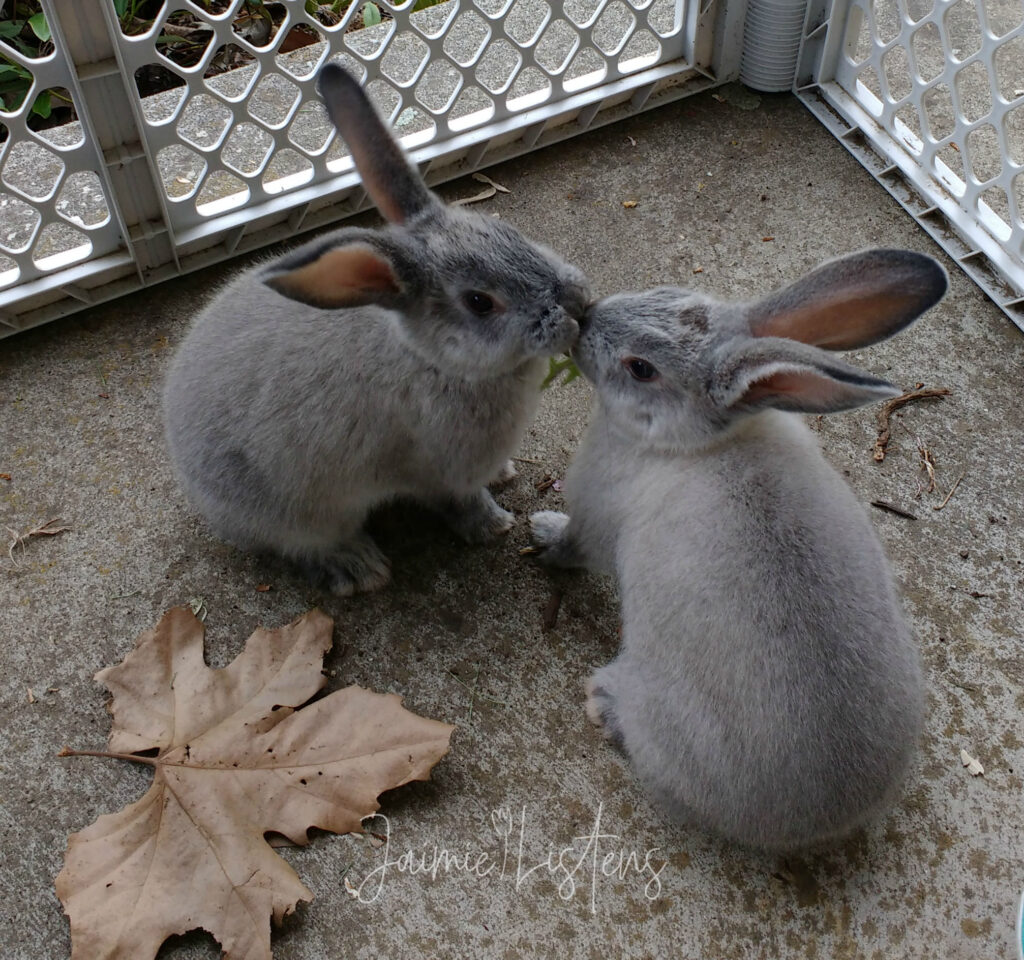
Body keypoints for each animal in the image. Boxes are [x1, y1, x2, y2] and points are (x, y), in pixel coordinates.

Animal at [163, 64, 589, 595]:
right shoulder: (439, 471)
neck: (430, 358)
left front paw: (506, 474)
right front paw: (496, 526)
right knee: (302, 545)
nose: (579, 303)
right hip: (302, 515)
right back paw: (361, 568)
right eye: (479, 302)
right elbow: (460, 502)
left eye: (510, 233)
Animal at [528, 248, 948, 851]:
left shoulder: (592, 520)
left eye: (641, 369)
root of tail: (825, 820)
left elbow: (571, 544)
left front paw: (539, 532)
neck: (699, 441)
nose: (584, 319)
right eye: (665, 292)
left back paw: (604, 705)